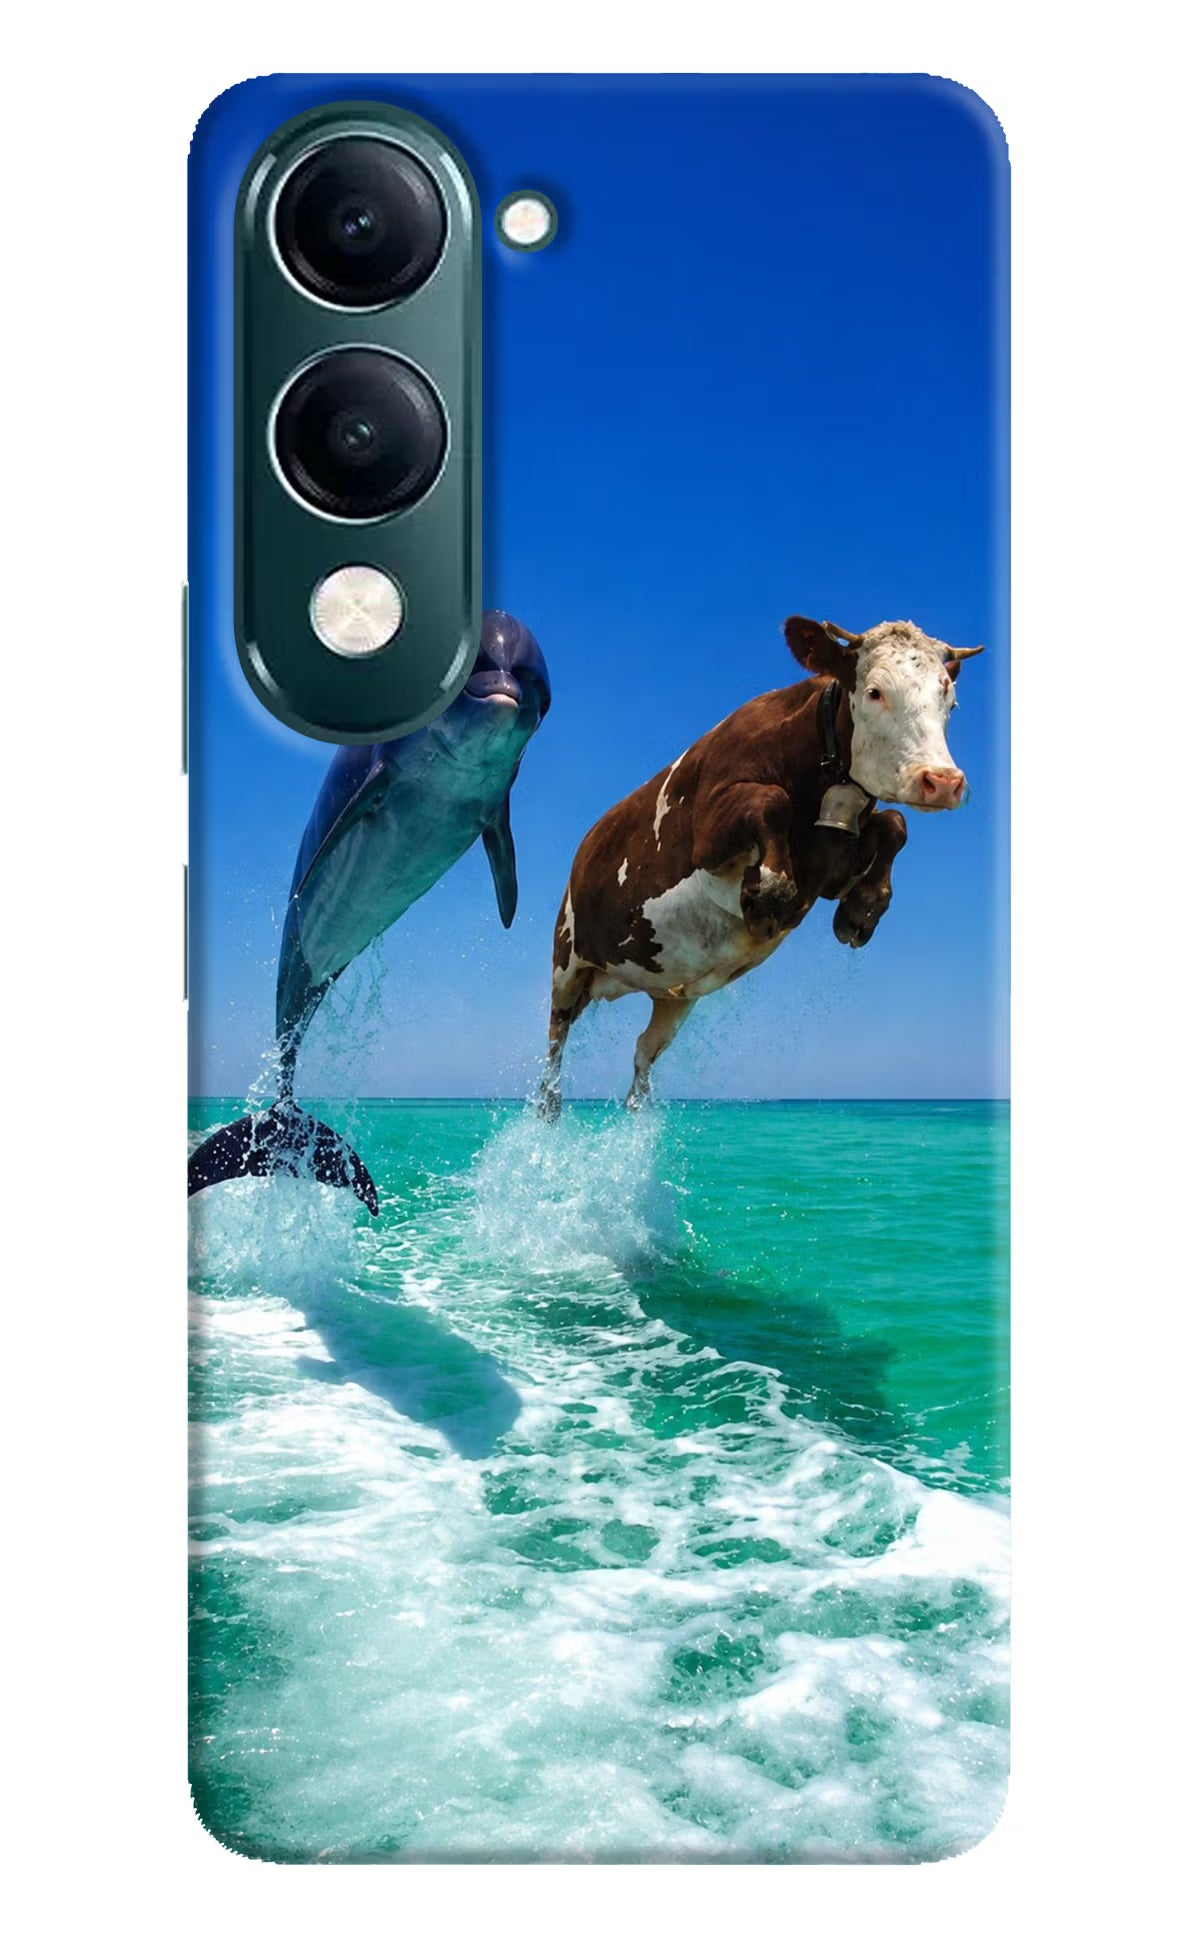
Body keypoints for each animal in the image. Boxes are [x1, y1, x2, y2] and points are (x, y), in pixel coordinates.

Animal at [537, 615, 983, 1116]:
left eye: (950, 699)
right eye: (874, 691)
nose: (942, 781)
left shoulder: (830, 867)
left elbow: (894, 823)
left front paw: (862, 910)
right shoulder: (708, 834)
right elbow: (772, 801)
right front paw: (768, 893)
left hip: (673, 995)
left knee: (643, 1053)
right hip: (566, 961)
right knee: (554, 1042)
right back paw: (549, 1106)